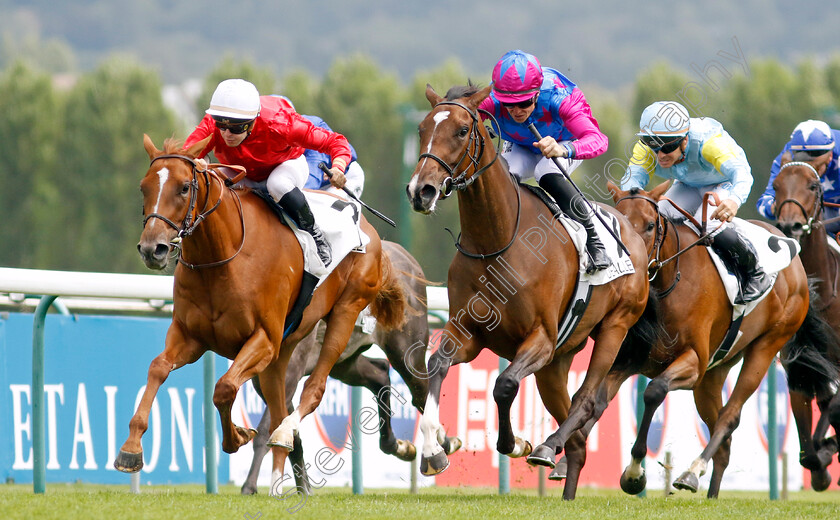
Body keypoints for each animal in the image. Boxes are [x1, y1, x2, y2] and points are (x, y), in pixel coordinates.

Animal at [115, 135, 410, 496]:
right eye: (144, 187)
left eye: (184, 187)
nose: (151, 249)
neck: (223, 257)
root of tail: (364, 223)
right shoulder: (190, 336)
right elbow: (157, 368)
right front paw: (130, 450)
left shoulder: (263, 340)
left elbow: (225, 387)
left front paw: (236, 436)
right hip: (283, 354)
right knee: (281, 403)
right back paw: (293, 475)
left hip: (344, 311)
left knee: (313, 389)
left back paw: (285, 437)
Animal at [406, 85, 648, 500]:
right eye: (422, 129)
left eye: (460, 131)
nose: (421, 190)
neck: (497, 240)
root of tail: (633, 232)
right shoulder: (468, 332)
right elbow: (436, 365)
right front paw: (434, 450)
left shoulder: (541, 339)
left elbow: (504, 385)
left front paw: (515, 443)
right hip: (557, 364)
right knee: (577, 439)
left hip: (613, 329)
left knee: (586, 401)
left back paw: (547, 447)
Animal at [608, 181, 824, 498]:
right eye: (618, 223)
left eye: (649, 225)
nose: (632, 264)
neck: (673, 280)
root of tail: (796, 262)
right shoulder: (634, 359)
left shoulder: (694, 363)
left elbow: (654, 391)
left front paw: (635, 473)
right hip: (714, 373)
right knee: (723, 439)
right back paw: (710, 492)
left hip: (766, 346)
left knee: (730, 417)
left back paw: (692, 471)